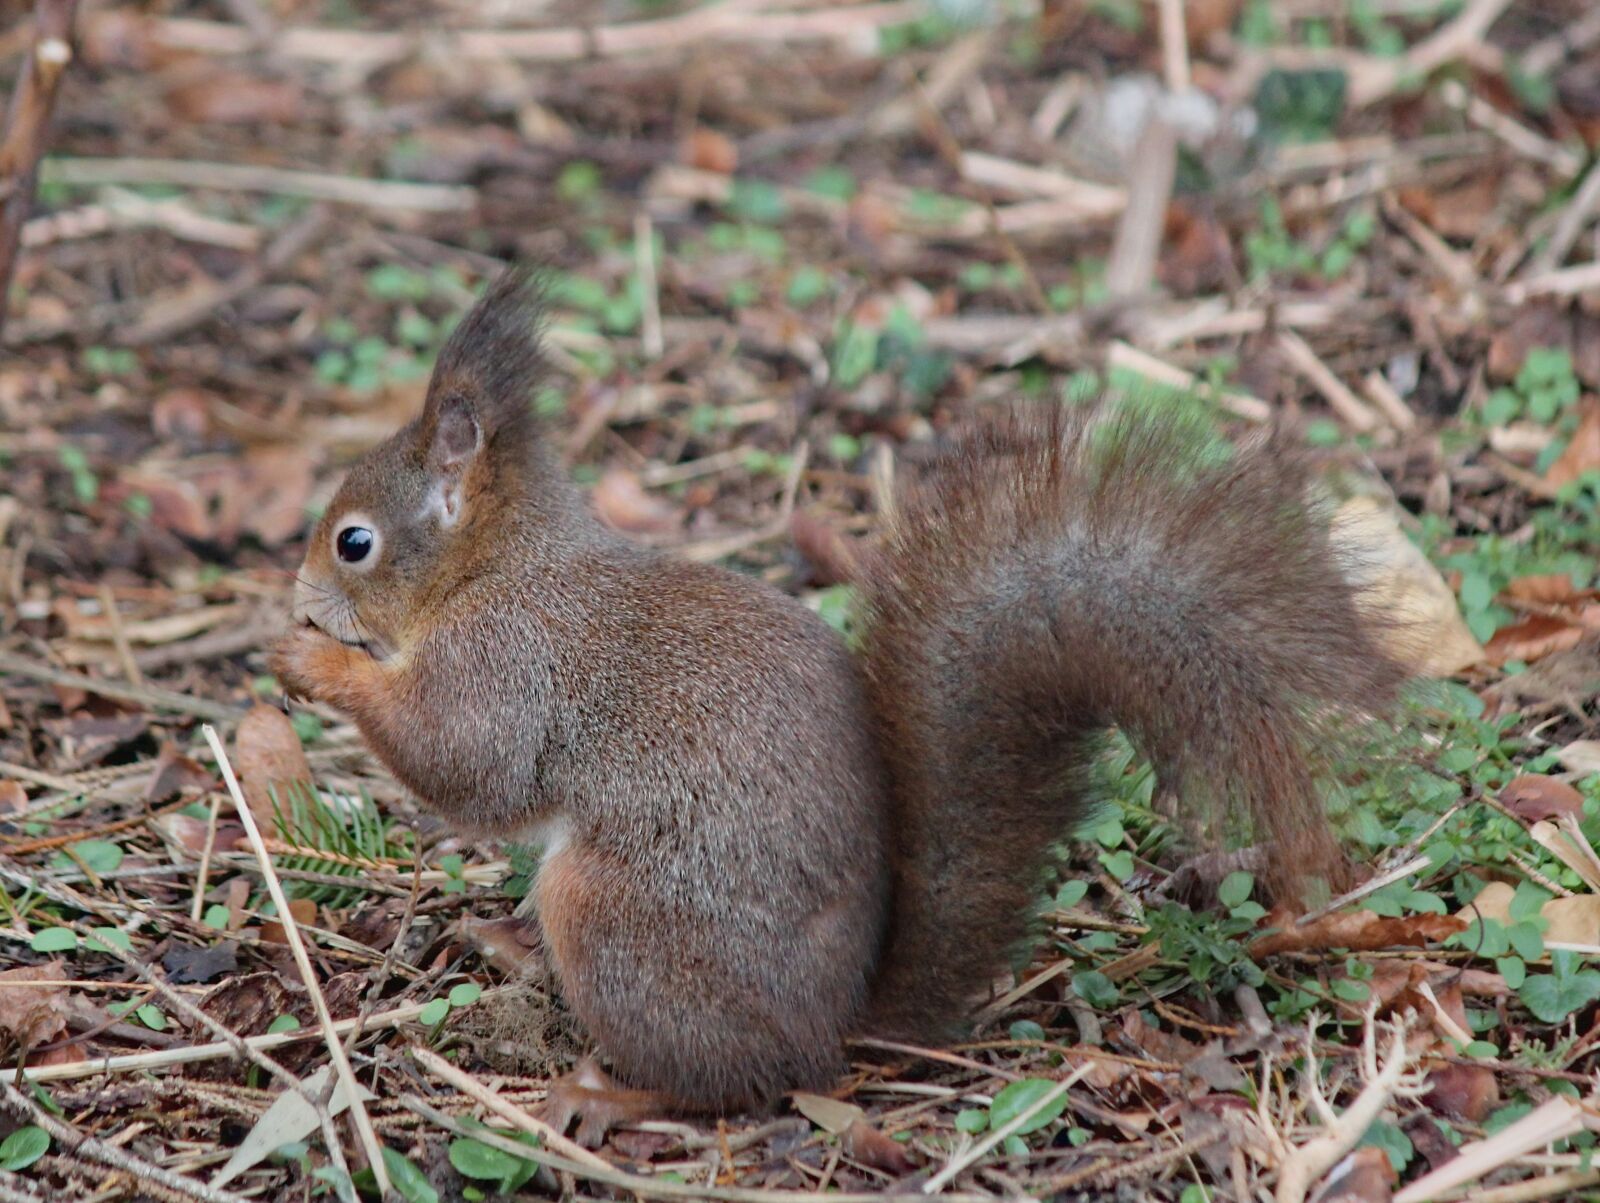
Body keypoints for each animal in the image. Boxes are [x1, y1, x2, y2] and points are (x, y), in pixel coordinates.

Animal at [271, 268, 1408, 1141]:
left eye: (355, 542)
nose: (300, 595)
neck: (495, 564)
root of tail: (834, 1024)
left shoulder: (506, 660)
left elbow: (465, 760)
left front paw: (316, 663)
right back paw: (510, 946)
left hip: (620, 918)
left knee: (729, 1083)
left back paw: (611, 1089)